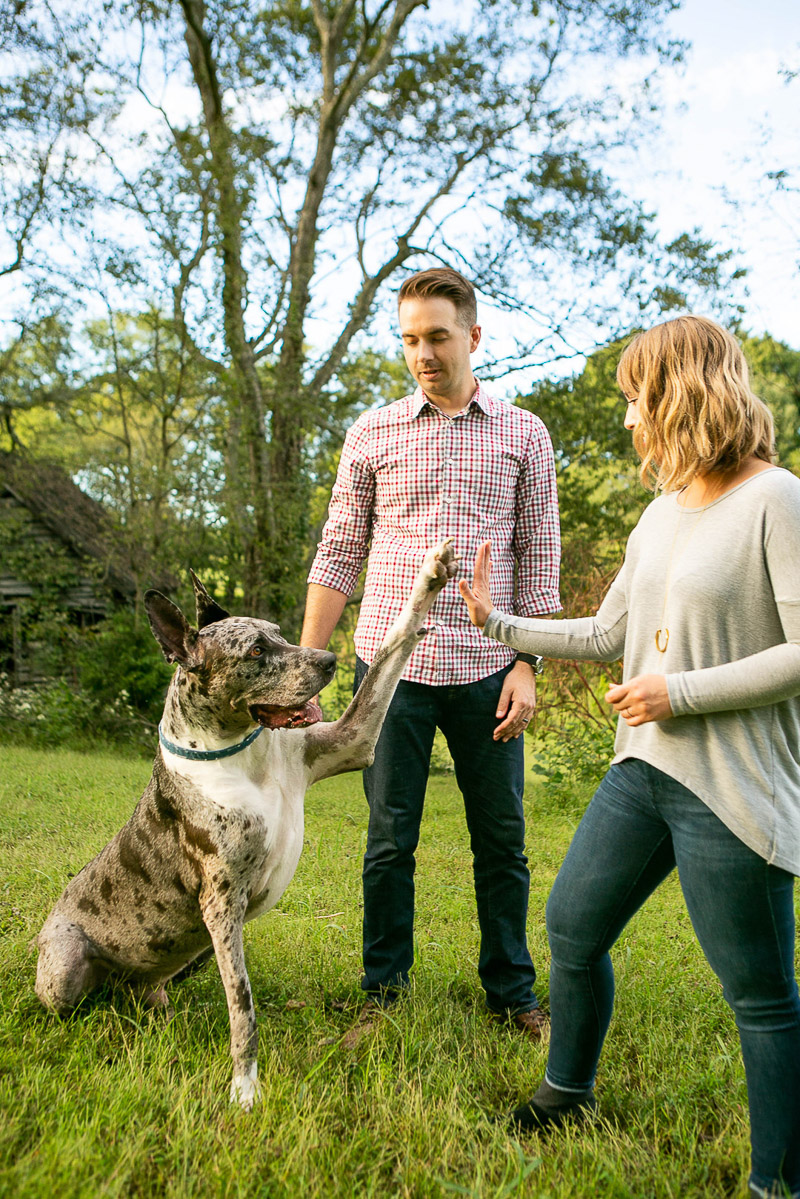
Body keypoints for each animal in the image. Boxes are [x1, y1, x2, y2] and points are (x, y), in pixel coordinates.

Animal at [34, 539, 455, 1107]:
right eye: (256, 651)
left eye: (279, 632)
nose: (328, 660)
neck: (239, 752)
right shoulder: (221, 906)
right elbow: (243, 1006)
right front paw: (245, 1088)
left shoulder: (353, 740)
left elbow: (392, 651)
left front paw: (430, 578)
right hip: (63, 970)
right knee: (78, 1001)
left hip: (187, 957)